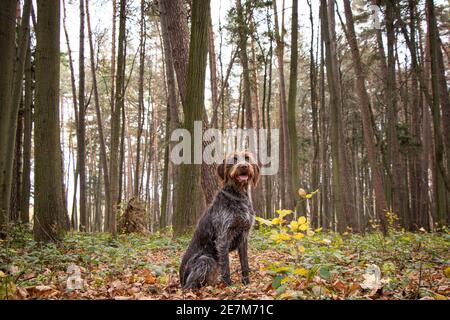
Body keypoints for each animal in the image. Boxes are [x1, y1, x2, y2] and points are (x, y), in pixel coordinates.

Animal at [178, 151, 260, 288]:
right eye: (234, 159)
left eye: (247, 158)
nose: (244, 166)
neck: (239, 195)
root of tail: (180, 280)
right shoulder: (223, 238)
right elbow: (226, 266)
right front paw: (229, 286)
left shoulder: (243, 237)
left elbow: (245, 263)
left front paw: (246, 283)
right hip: (205, 260)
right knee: (189, 286)